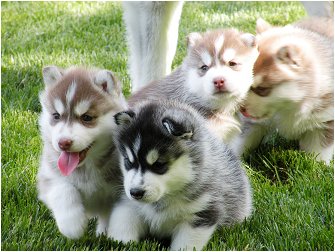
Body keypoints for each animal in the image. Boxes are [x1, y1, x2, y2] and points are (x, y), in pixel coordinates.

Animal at [37, 65, 128, 238]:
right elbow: (63, 189)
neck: (86, 169)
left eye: (87, 117)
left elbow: (111, 213)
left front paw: (107, 234)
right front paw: (72, 224)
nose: (63, 143)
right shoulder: (48, 176)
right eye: (56, 116)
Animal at [107, 100, 252, 250]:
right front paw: (120, 243)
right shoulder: (128, 204)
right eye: (128, 161)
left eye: (159, 164)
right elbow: (123, 222)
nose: (135, 192)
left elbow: (186, 244)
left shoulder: (201, 214)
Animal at [238, 17, 334, 163]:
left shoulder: (324, 122)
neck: (288, 108)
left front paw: (318, 165)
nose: (241, 109)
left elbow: (318, 153)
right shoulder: (252, 124)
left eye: (262, 89)